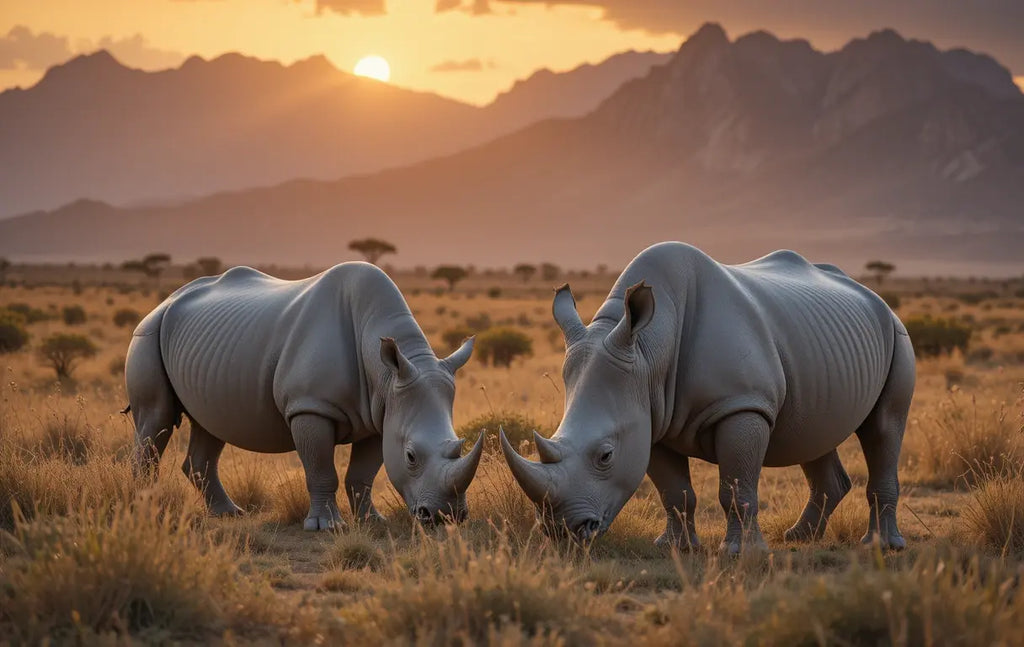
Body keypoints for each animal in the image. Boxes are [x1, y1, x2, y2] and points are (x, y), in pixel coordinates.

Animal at [125, 262, 483, 530]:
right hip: (148, 332)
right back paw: (144, 508)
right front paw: (327, 526)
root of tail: (166, 300)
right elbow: (321, 469)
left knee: (209, 424)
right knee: (156, 418)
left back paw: (229, 514)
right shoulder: (311, 407)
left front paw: (372, 521)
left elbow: (363, 475)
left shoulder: (382, 413)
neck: (386, 372)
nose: (446, 516)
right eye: (411, 456)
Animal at [501, 242, 914, 553]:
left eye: (605, 455)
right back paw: (799, 538)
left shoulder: (742, 405)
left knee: (884, 427)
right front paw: (674, 548)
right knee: (814, 432)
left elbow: (736, 485)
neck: (648, 349)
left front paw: (741, 553)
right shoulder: (651, 416)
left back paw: (882, 547)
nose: (562, 531)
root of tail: (871, 294)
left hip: (896, 332)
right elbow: (674, 492)